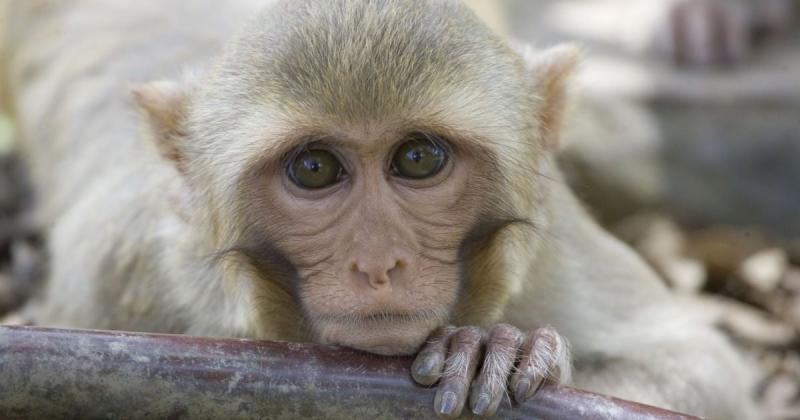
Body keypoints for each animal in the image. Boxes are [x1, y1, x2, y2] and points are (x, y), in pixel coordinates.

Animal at [3, 0, 756, 420]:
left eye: (418, 158)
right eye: (314, 169)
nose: (377, 262)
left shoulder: (551, 245)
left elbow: (698, 363)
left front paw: (497, 353)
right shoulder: (119, 278)